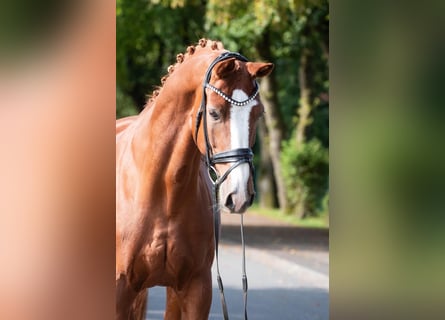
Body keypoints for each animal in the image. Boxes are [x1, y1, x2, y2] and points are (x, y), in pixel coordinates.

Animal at [114, 40, 272, 320]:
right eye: (214, 113)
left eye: (259, 114)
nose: (240, 195)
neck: (162, 194)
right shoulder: (120, 290)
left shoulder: (196, 289)